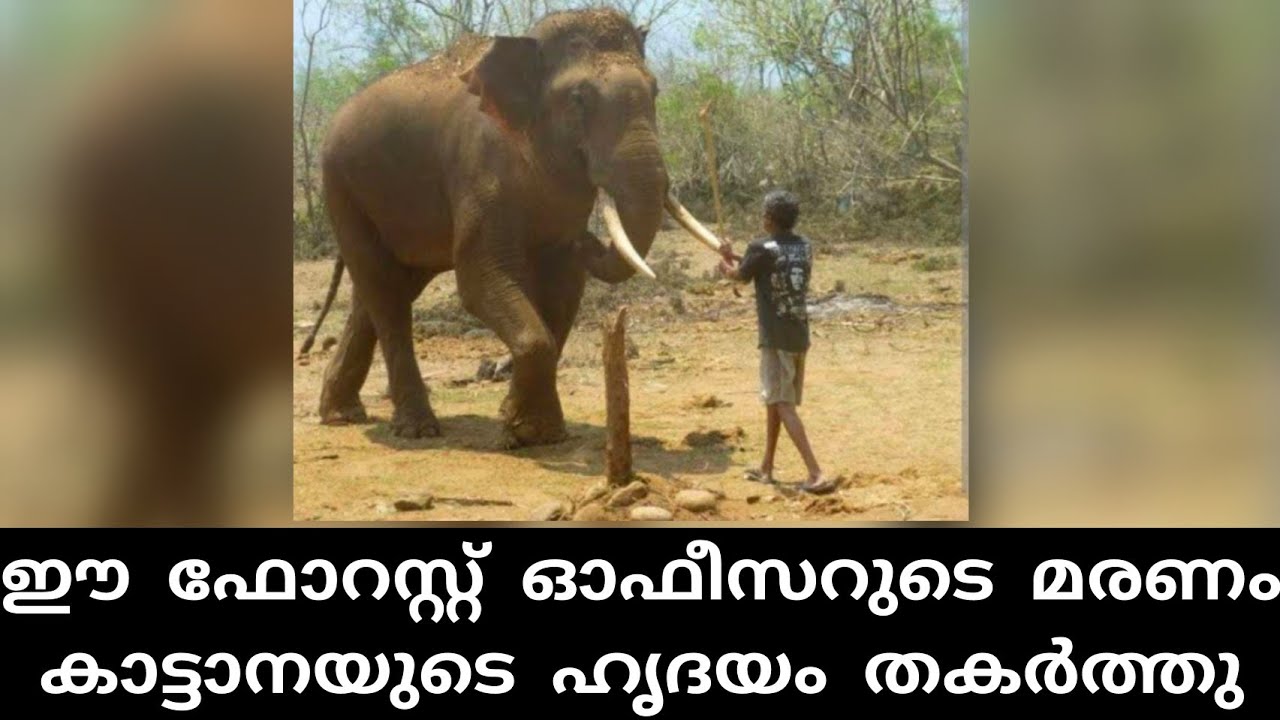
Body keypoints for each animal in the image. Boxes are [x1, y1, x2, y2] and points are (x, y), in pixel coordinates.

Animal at [302, 8, 725, 447]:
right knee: (383, 290)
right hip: (342, 188)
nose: (589, 240)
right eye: (579, 98)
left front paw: (533, 428)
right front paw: (524, 431)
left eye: (656, 91)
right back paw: (416, 430)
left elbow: (563, 288)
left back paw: (341, 414)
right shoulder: (480, 175)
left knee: (383, 289)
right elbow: (480, 280)